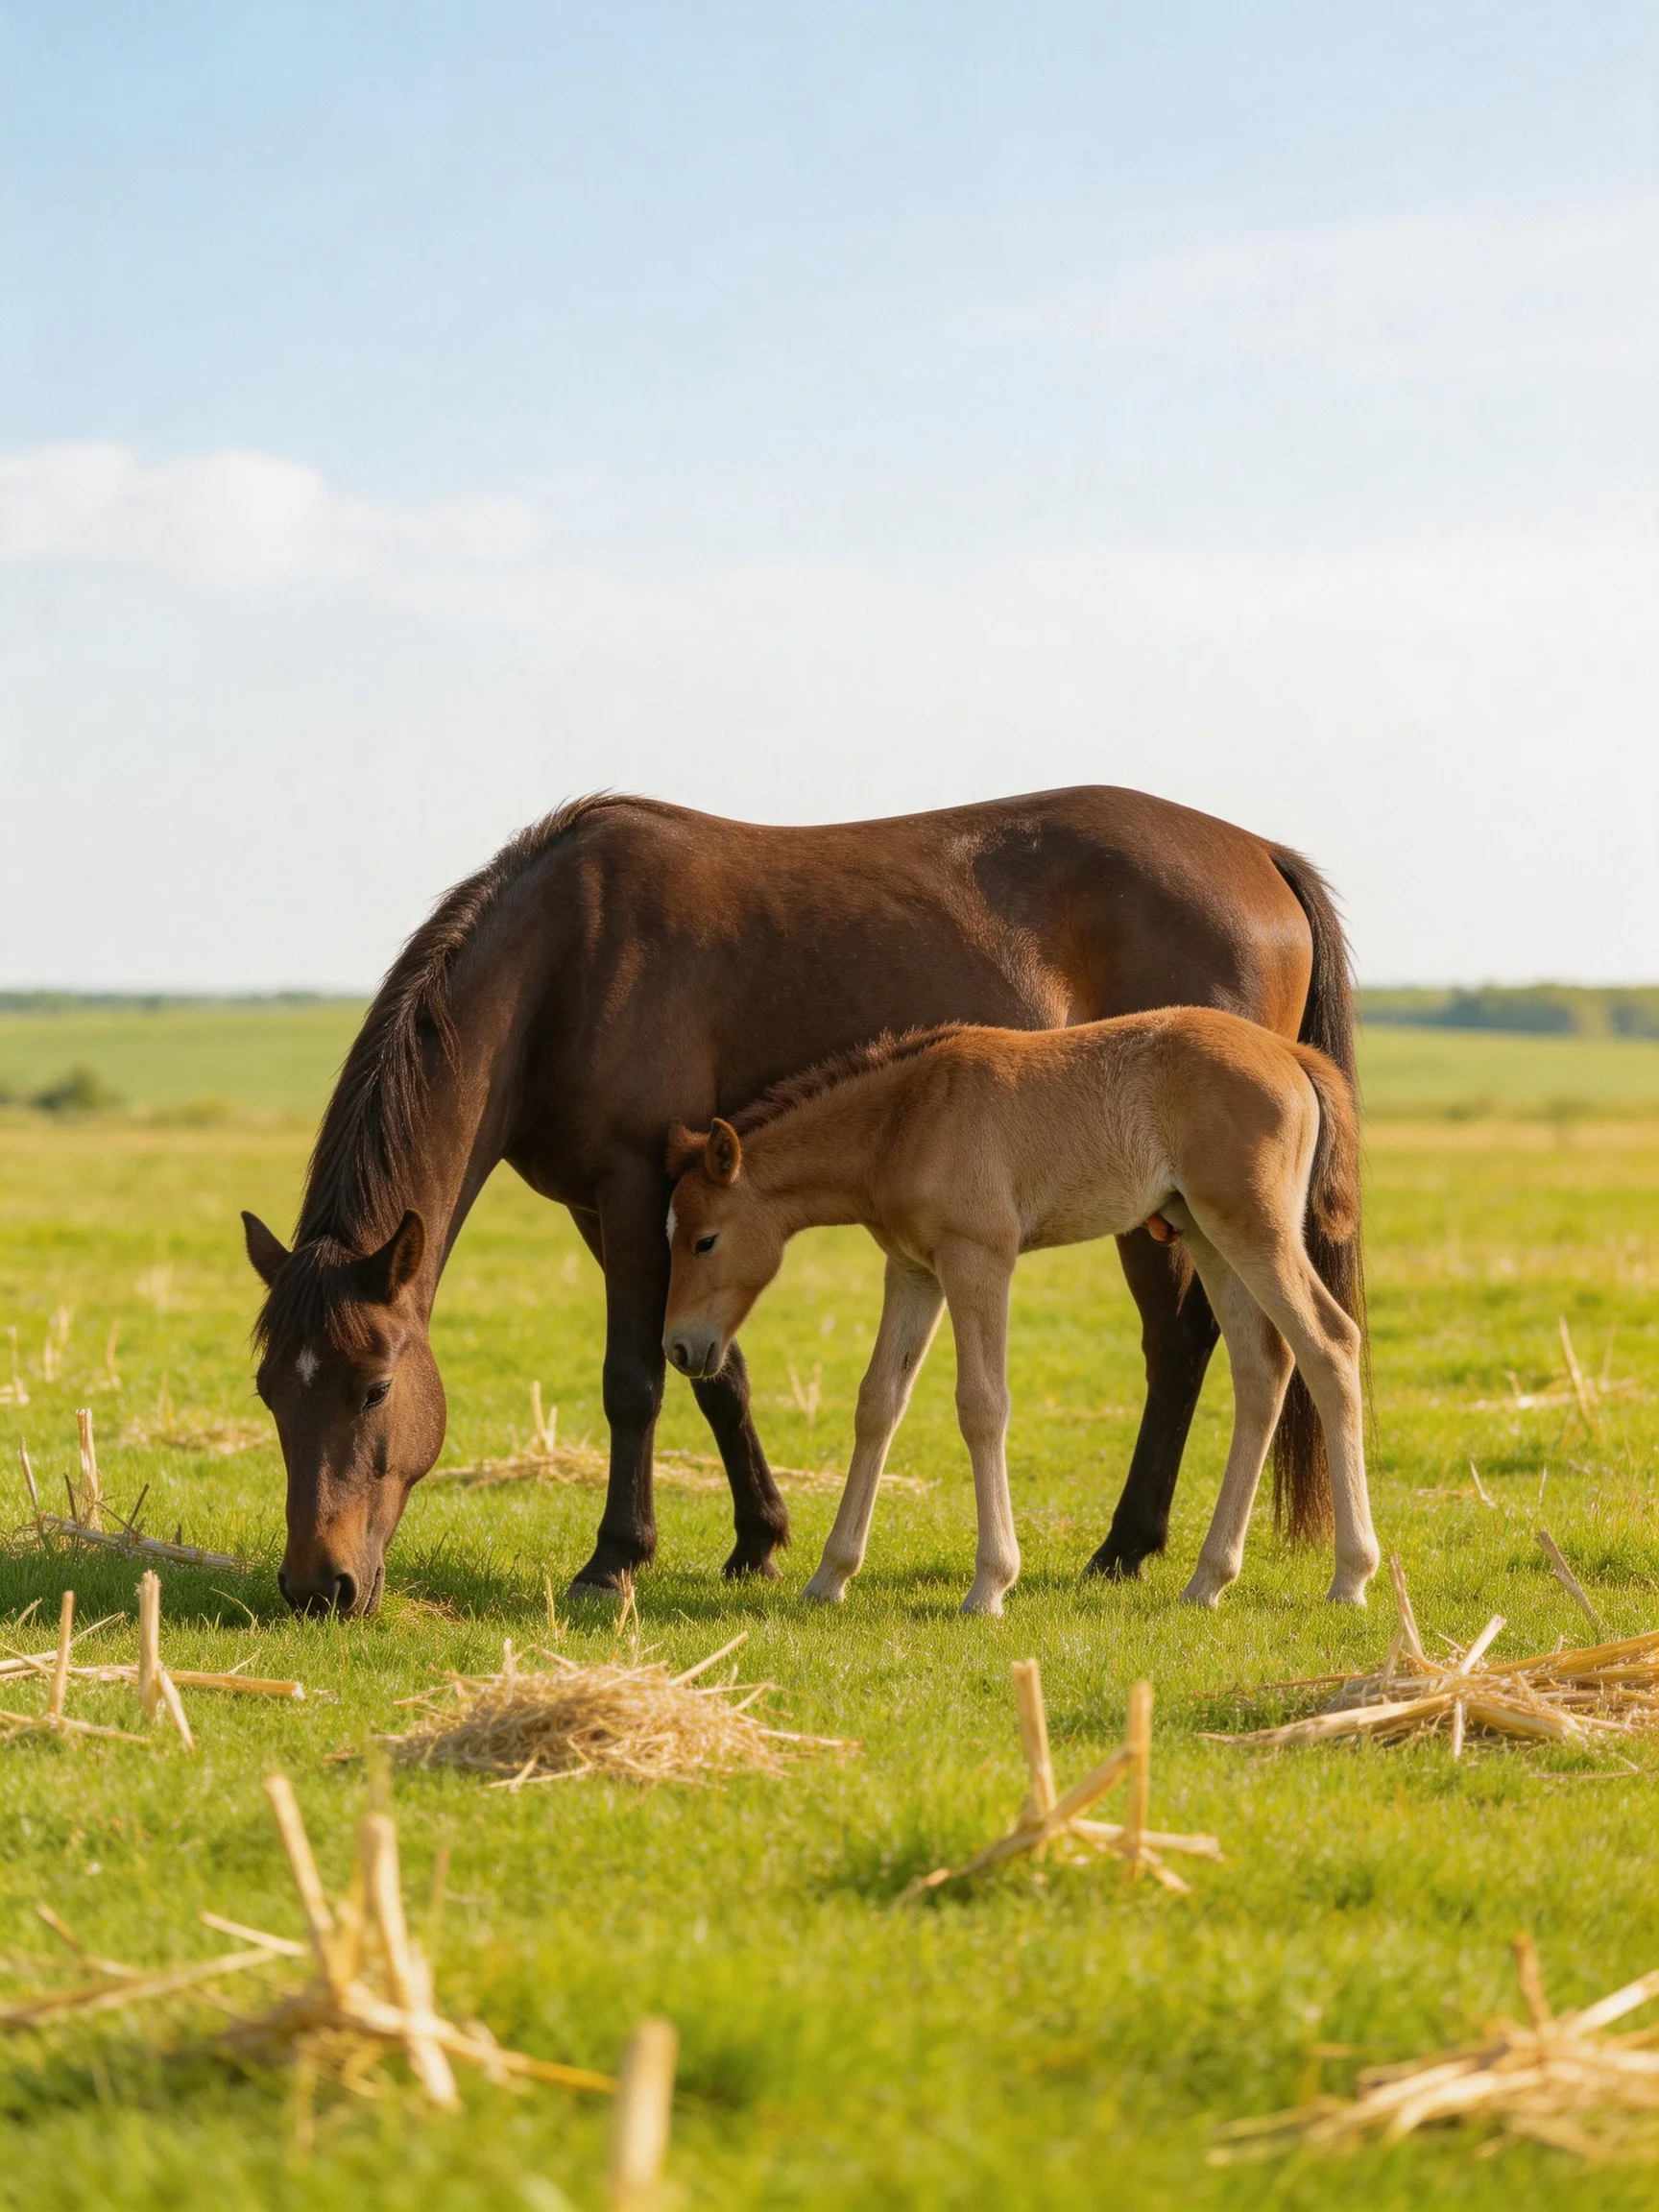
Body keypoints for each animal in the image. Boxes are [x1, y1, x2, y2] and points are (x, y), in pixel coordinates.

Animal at [662, 1011, 1376, 1614]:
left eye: (705, 1240)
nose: (679, 1348)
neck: (905, 1118)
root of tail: (1289, 1053)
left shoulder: (978, 1258)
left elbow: (982, 1405)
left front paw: (990, 1585)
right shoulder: (914, 1271)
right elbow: (878, 1402)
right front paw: (829, 1576)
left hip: (1253, 1229)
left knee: (1329, 1344)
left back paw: (1350, 1576)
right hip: (1204, 1233)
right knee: (1262, 1368)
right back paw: (1208, 1580)